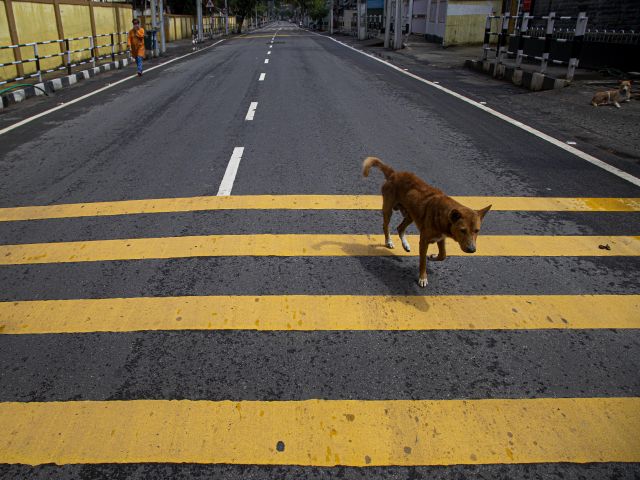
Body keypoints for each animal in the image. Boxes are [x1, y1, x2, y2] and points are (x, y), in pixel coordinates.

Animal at [362, 156, 492, 286]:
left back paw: (405, 244)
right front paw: (423, 277)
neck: (443, 214)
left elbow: (443, 255)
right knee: (385, 225)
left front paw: (433, 256)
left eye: (477, 231)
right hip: (388, 210)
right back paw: (388, 241)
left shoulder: (441, 238)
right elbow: (423, 261)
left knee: (400, 228)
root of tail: (394, 174)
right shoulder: (424, 241)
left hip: (410, 215)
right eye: (463, 230)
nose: (472, 250)